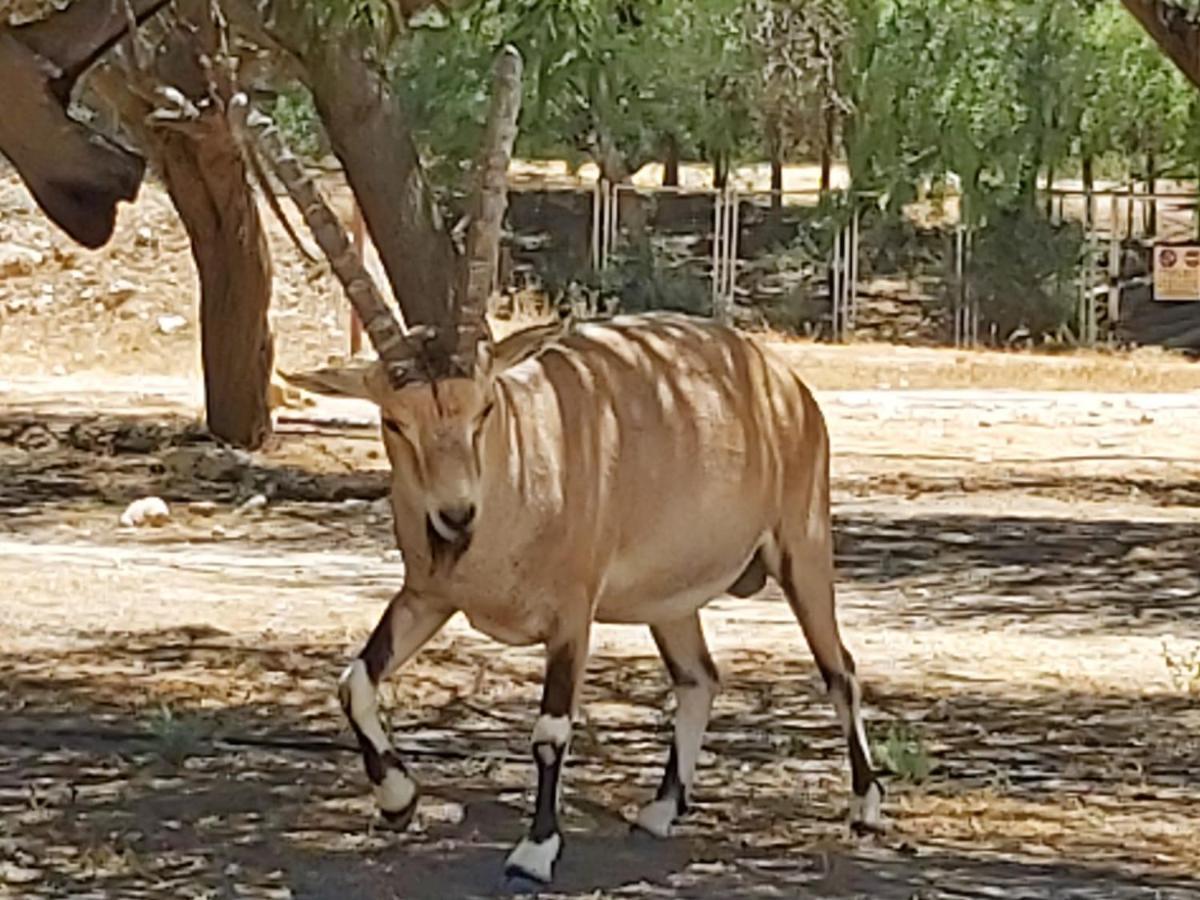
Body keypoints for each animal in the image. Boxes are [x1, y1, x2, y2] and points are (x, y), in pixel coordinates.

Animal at [291, 309, 888, 888]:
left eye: (484, 408)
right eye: (395, 421)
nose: (456, 517)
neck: (525, 455)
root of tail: (787, 386)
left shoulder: (571, 616)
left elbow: (551, 730)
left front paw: (533, 853)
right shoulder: (427, 597)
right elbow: (354, 682)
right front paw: (398, 800)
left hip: (803, 550)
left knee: (840, 669)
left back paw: (865, 805)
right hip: (670, 602)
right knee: (699, 677)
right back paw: (660, 811)